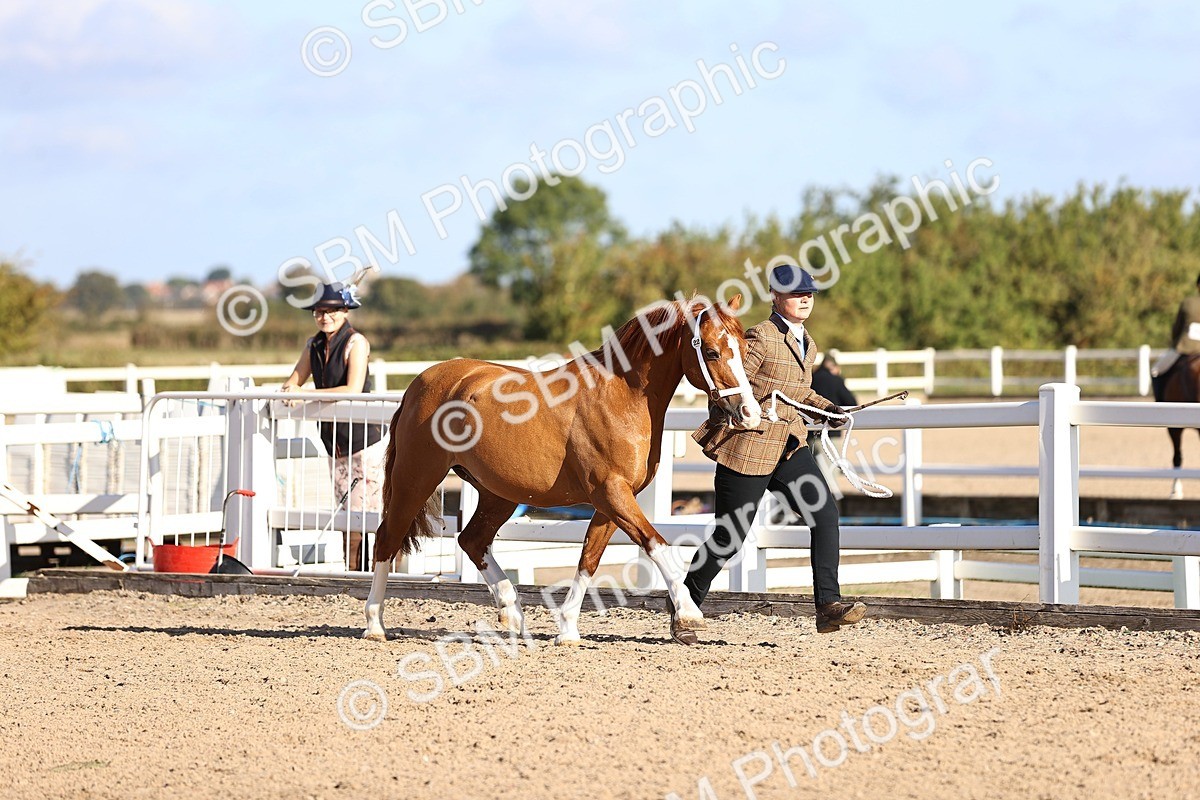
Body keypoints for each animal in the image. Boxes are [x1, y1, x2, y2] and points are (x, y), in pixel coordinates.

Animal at [361, 295, 763, 644]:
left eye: (745, 350)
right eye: (711, 352)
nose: (750, 414)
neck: (620, 398)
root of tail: (418, 384)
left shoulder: (610, 502)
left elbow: (589, 560)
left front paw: (567, 630)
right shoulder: (611, 493)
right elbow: (656, 543)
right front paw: (689, 612)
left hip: (498, 494)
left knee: (471, 540)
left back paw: (512, 614)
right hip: (415, 479)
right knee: (387, 539)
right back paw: (375, 624)